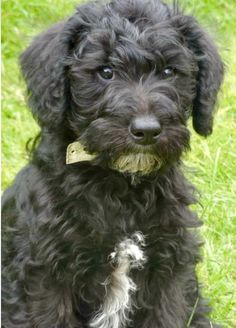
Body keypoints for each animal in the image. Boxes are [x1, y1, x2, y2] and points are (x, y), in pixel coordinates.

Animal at [1, 0, 223, 328]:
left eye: (169, 71)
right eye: (106, 72)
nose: (146, 130)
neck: (122, 185)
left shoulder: (172, 266)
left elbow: (169, 314)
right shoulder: (45, 273)